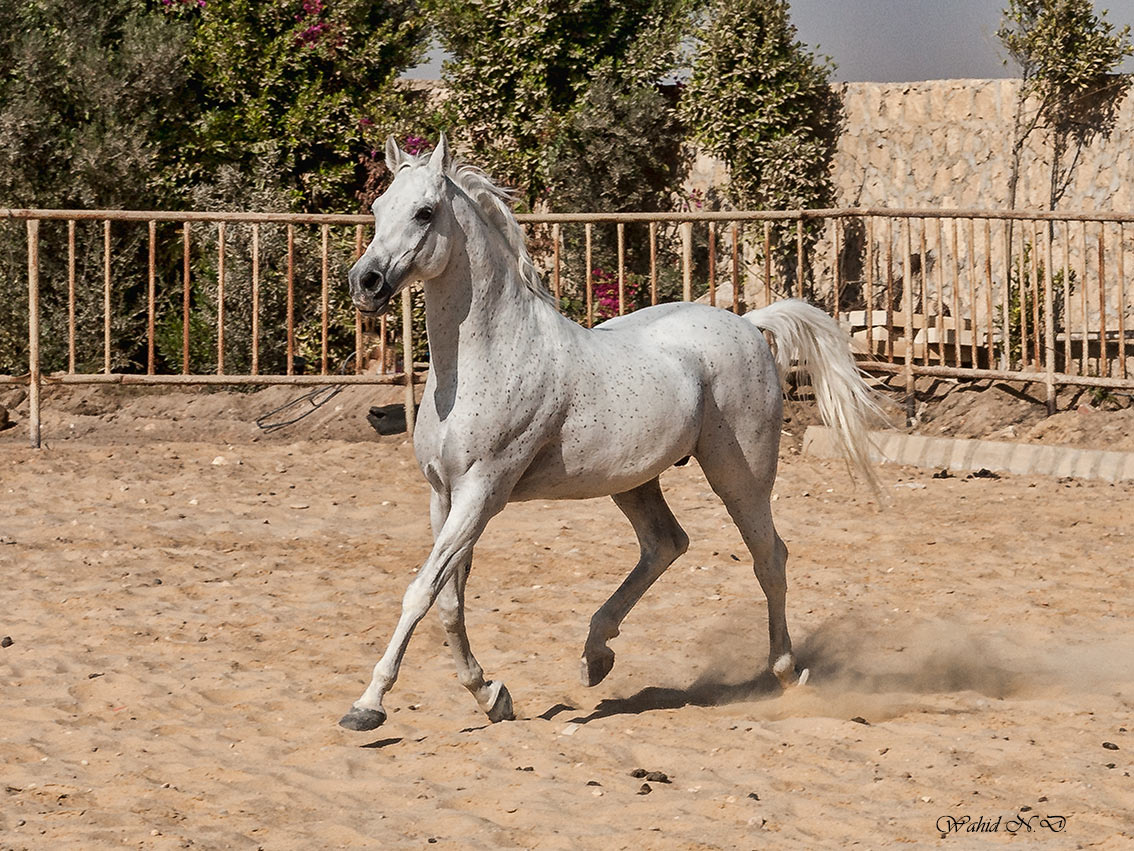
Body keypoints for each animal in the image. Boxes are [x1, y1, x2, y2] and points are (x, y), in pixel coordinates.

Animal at [337, 133, 884, 735]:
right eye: (377, 208)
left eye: (424, 212)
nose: (364, 284)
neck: (490, 357)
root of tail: (747, 323)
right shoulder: (443, 496)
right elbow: (448, 601)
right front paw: (491, 695)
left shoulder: (482, 495)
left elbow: (420, 592)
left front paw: (367, 706)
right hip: (635, 481)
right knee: (666, 544)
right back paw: (595, 656)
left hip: (741, 478)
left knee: (769, 557)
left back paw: (785, 671)